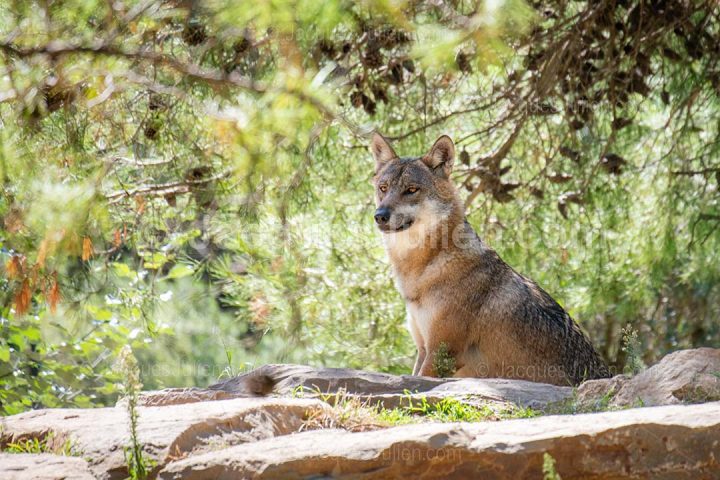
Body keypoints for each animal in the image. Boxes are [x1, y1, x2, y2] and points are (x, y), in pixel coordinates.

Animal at [371, 133, 610, 386]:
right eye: (383, 188)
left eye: (411, 189)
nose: (380, 216)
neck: (423, 270)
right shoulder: (424, 349)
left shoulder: (441, 353)